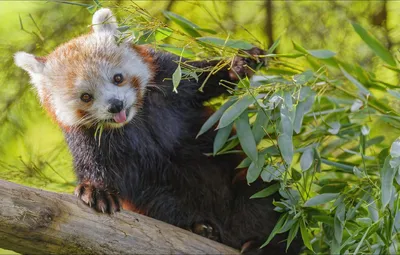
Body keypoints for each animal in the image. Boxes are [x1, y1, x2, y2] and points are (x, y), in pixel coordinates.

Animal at [14, 7, 302, 255]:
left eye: (118, 78)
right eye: (86, 96)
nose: (116, 105)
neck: (135, 120)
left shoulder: (168, 78)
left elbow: (201, 78)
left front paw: (239, 64)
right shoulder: (90, 139)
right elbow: (98, 168)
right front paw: (95, 190)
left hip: (249, 181)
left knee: (268, 201)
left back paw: (266, 244)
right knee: (164, 204)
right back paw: (201, 227)